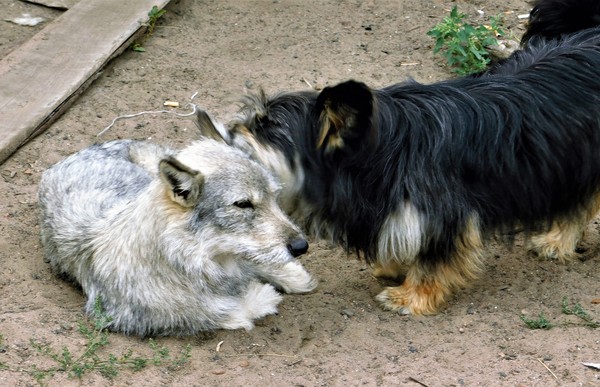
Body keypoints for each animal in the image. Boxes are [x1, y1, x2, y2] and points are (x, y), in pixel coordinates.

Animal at [37, 139, 316, 336]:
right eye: (243, 204)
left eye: (273, 198)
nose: (301, 246)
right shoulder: (136, 317)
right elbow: (227, 309)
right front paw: (262, 296)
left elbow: (258, 262)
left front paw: (292, 275)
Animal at [197, 0, 600, 316]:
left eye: (268, 127)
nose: (225, 132)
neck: (378, 158)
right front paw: (393, 266)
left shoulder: (443, 214)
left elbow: (434, 258)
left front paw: (413, 296)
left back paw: (557, 239)